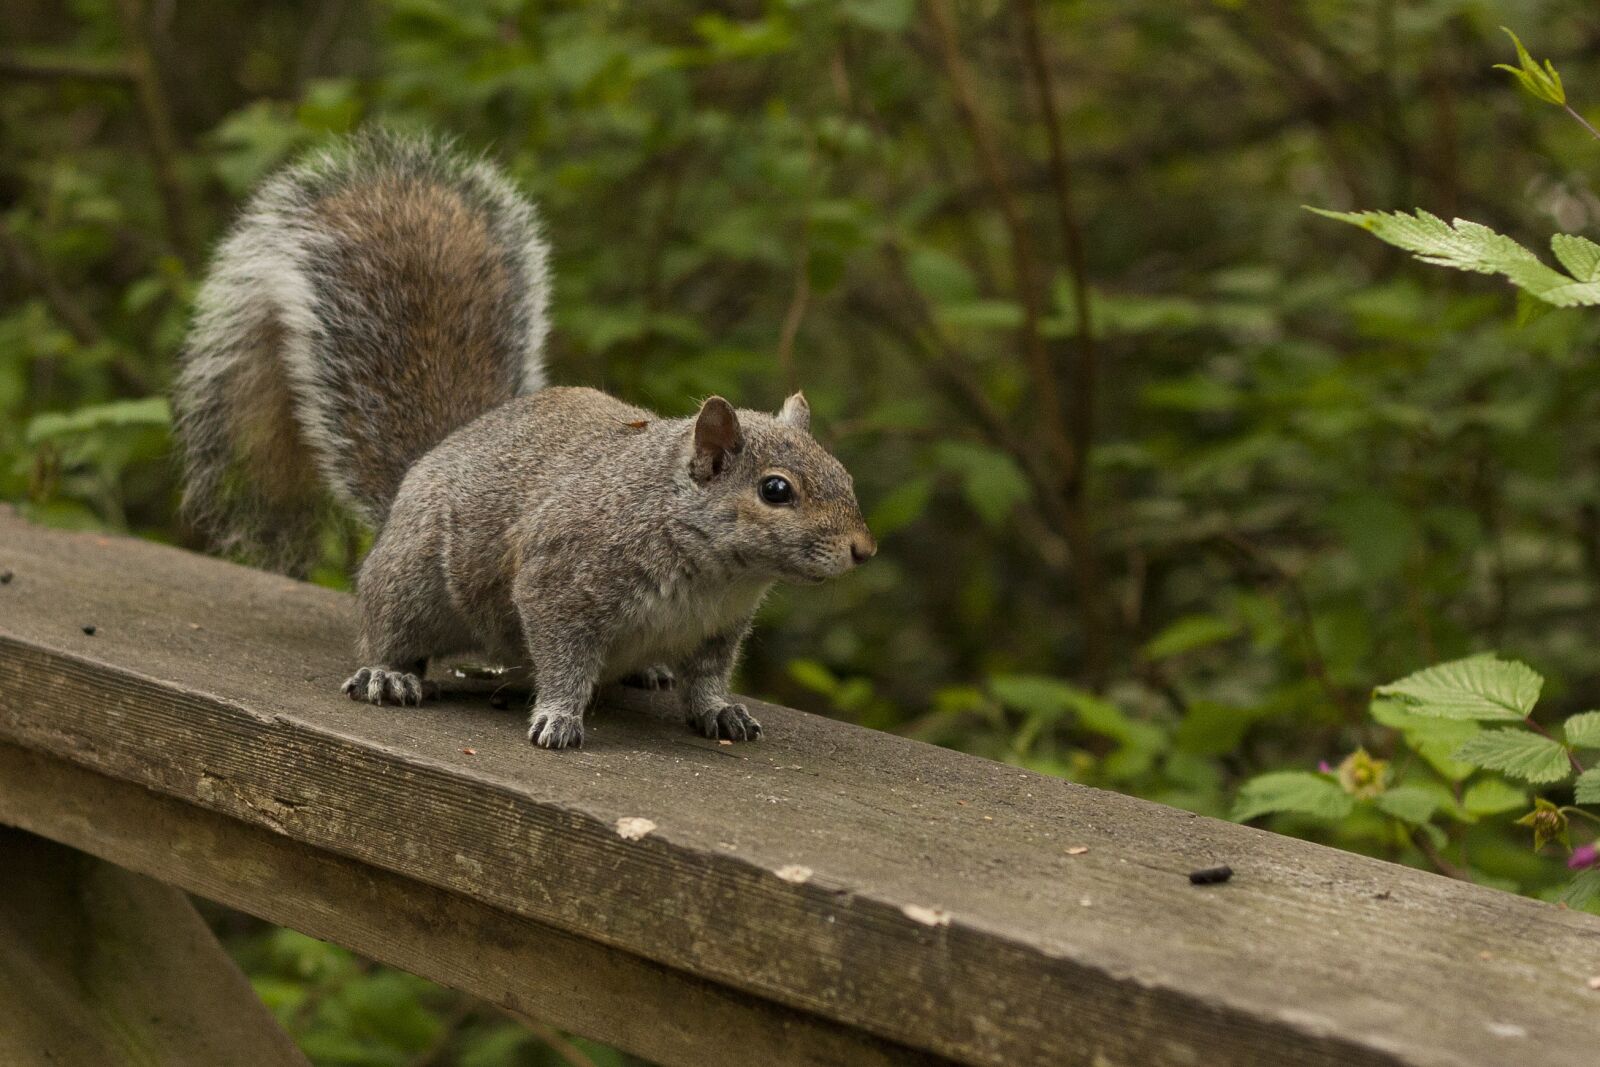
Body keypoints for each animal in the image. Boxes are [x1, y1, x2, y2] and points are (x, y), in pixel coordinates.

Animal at [173, 131, 875, 749]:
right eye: (776, 491)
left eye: (843, 474)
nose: (863, 550)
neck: (712, 571)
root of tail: (427, 463)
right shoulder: (559, 581)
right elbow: (563, 659)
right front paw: (558, 716)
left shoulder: (717, 629)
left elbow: (705, 679)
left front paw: (721, 711)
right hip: (412, 580)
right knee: (387, 626)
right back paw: (389, 673)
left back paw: (645, 670)